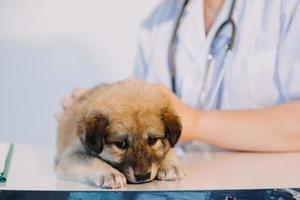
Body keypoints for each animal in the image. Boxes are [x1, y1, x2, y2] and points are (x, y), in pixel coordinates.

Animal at [55, 79, 184, 188]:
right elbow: (92, 161)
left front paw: (170, 166)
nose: (142, 176)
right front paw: (110, 173)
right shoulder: (72, 154)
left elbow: (169, 150)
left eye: (152, 140)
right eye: (121, 144)